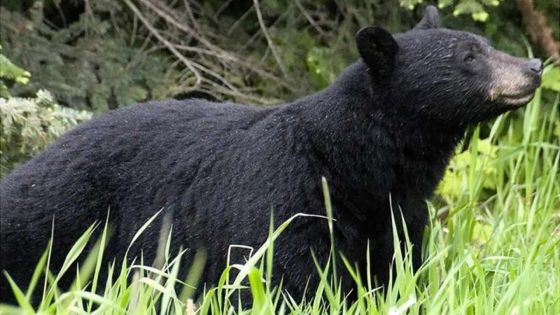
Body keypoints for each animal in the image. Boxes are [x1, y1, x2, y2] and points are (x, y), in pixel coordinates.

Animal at [0, 6, 544, 304]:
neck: (355, 166)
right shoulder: (284, 196)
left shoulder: (394, 214)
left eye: (486, 44)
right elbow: (280, 276)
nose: (535, 65)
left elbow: (394, 270)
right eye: (469, 57)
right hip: (61, 214)